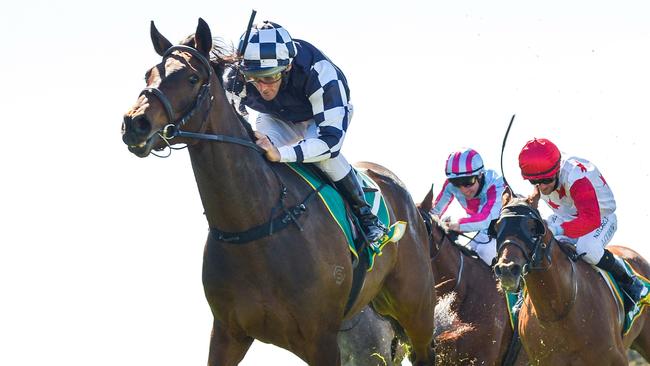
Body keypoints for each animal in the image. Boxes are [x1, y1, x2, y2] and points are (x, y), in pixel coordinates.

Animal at [121, 18, 436, 364]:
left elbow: (329, 137)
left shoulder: (321, 339)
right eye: (148, 74)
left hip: (417, 310)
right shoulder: (227, 333)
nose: (135, 123)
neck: (256, 225)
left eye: (192, 78)